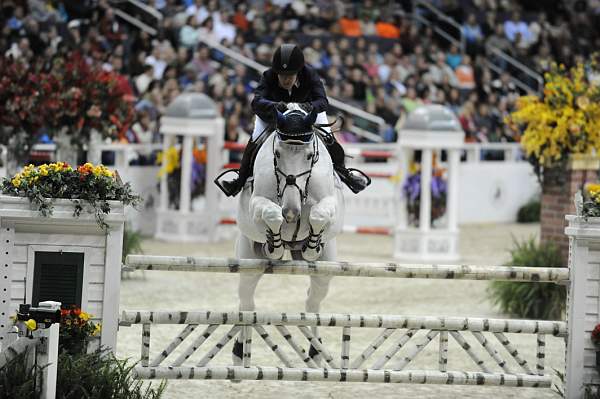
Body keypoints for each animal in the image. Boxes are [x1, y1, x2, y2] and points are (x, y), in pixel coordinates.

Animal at [232, 104, 344, 368]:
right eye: (278, 154)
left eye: (309, 156)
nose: (291, 212)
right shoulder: (257, 204)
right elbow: (272, 214)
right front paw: (274, 246)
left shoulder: (329, 202)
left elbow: (318, 214)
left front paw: (311, 246)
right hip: (248, 262)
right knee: (246, 302)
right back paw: (239, 353)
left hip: (325, 271)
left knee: (313, 302)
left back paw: (315, 353)